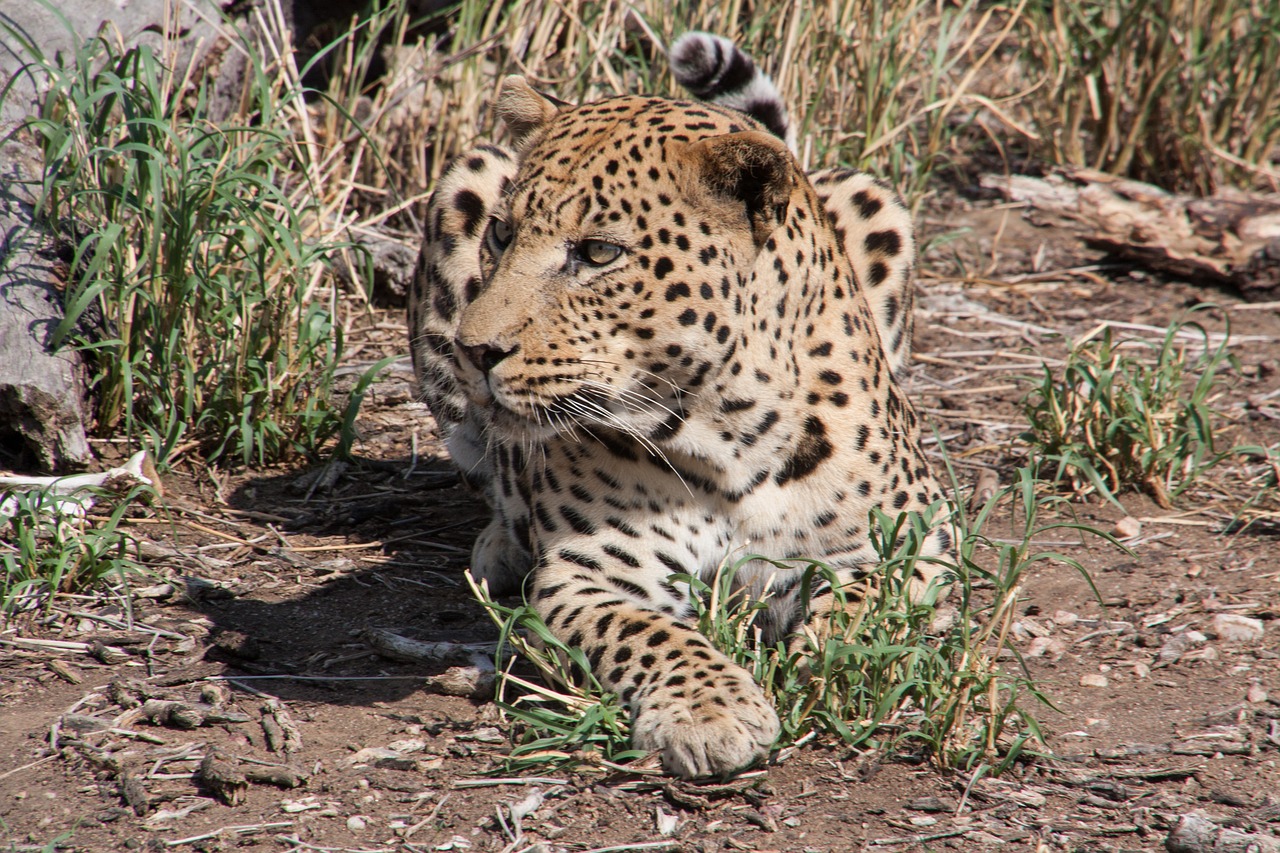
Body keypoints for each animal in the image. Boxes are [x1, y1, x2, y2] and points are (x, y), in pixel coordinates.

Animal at [404, 33, 957, 778]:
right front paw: (711, 712)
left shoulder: (919, 537)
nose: (476, 348)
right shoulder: (589, 572)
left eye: (598, 252)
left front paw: (831, 655)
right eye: (501, 234)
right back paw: (500, 549)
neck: (731, 431)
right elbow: (649, 633)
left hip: (873, 197)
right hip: (463, 180)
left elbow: (864, 599)